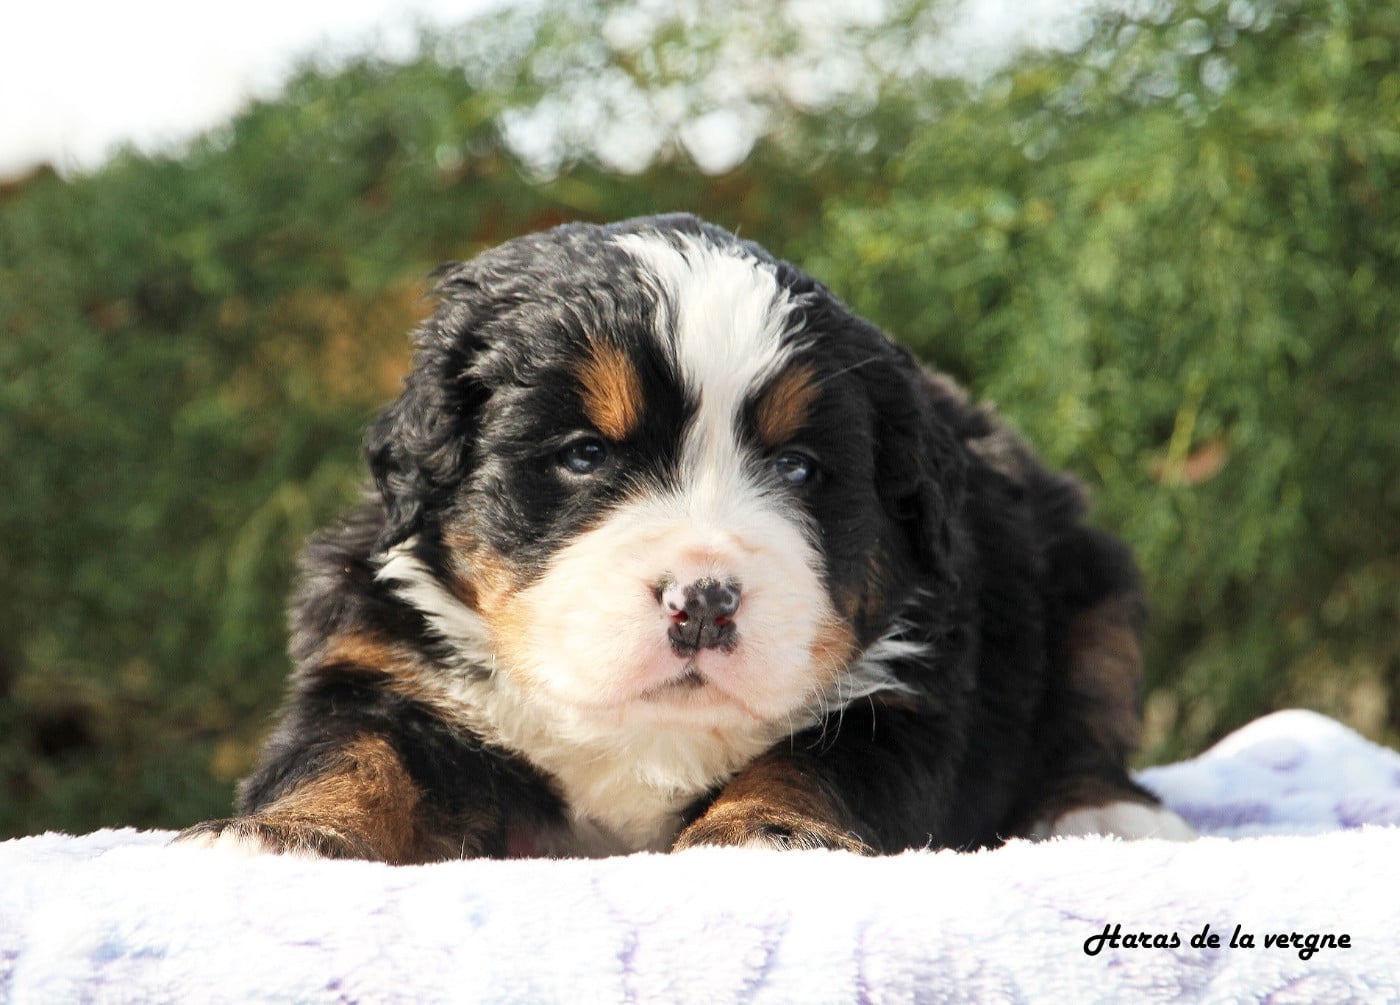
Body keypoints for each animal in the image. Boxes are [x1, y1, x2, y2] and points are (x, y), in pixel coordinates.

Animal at [178, 213, 1192, 862]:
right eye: (584, 454)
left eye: (799, 469)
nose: (702, 602)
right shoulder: (382, 660)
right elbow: (353, 755)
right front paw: (275, 837)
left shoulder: (903, 691)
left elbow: (807, 764)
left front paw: (763, 836)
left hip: (1094, 586)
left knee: (1088, 717)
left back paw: (1108, 813)